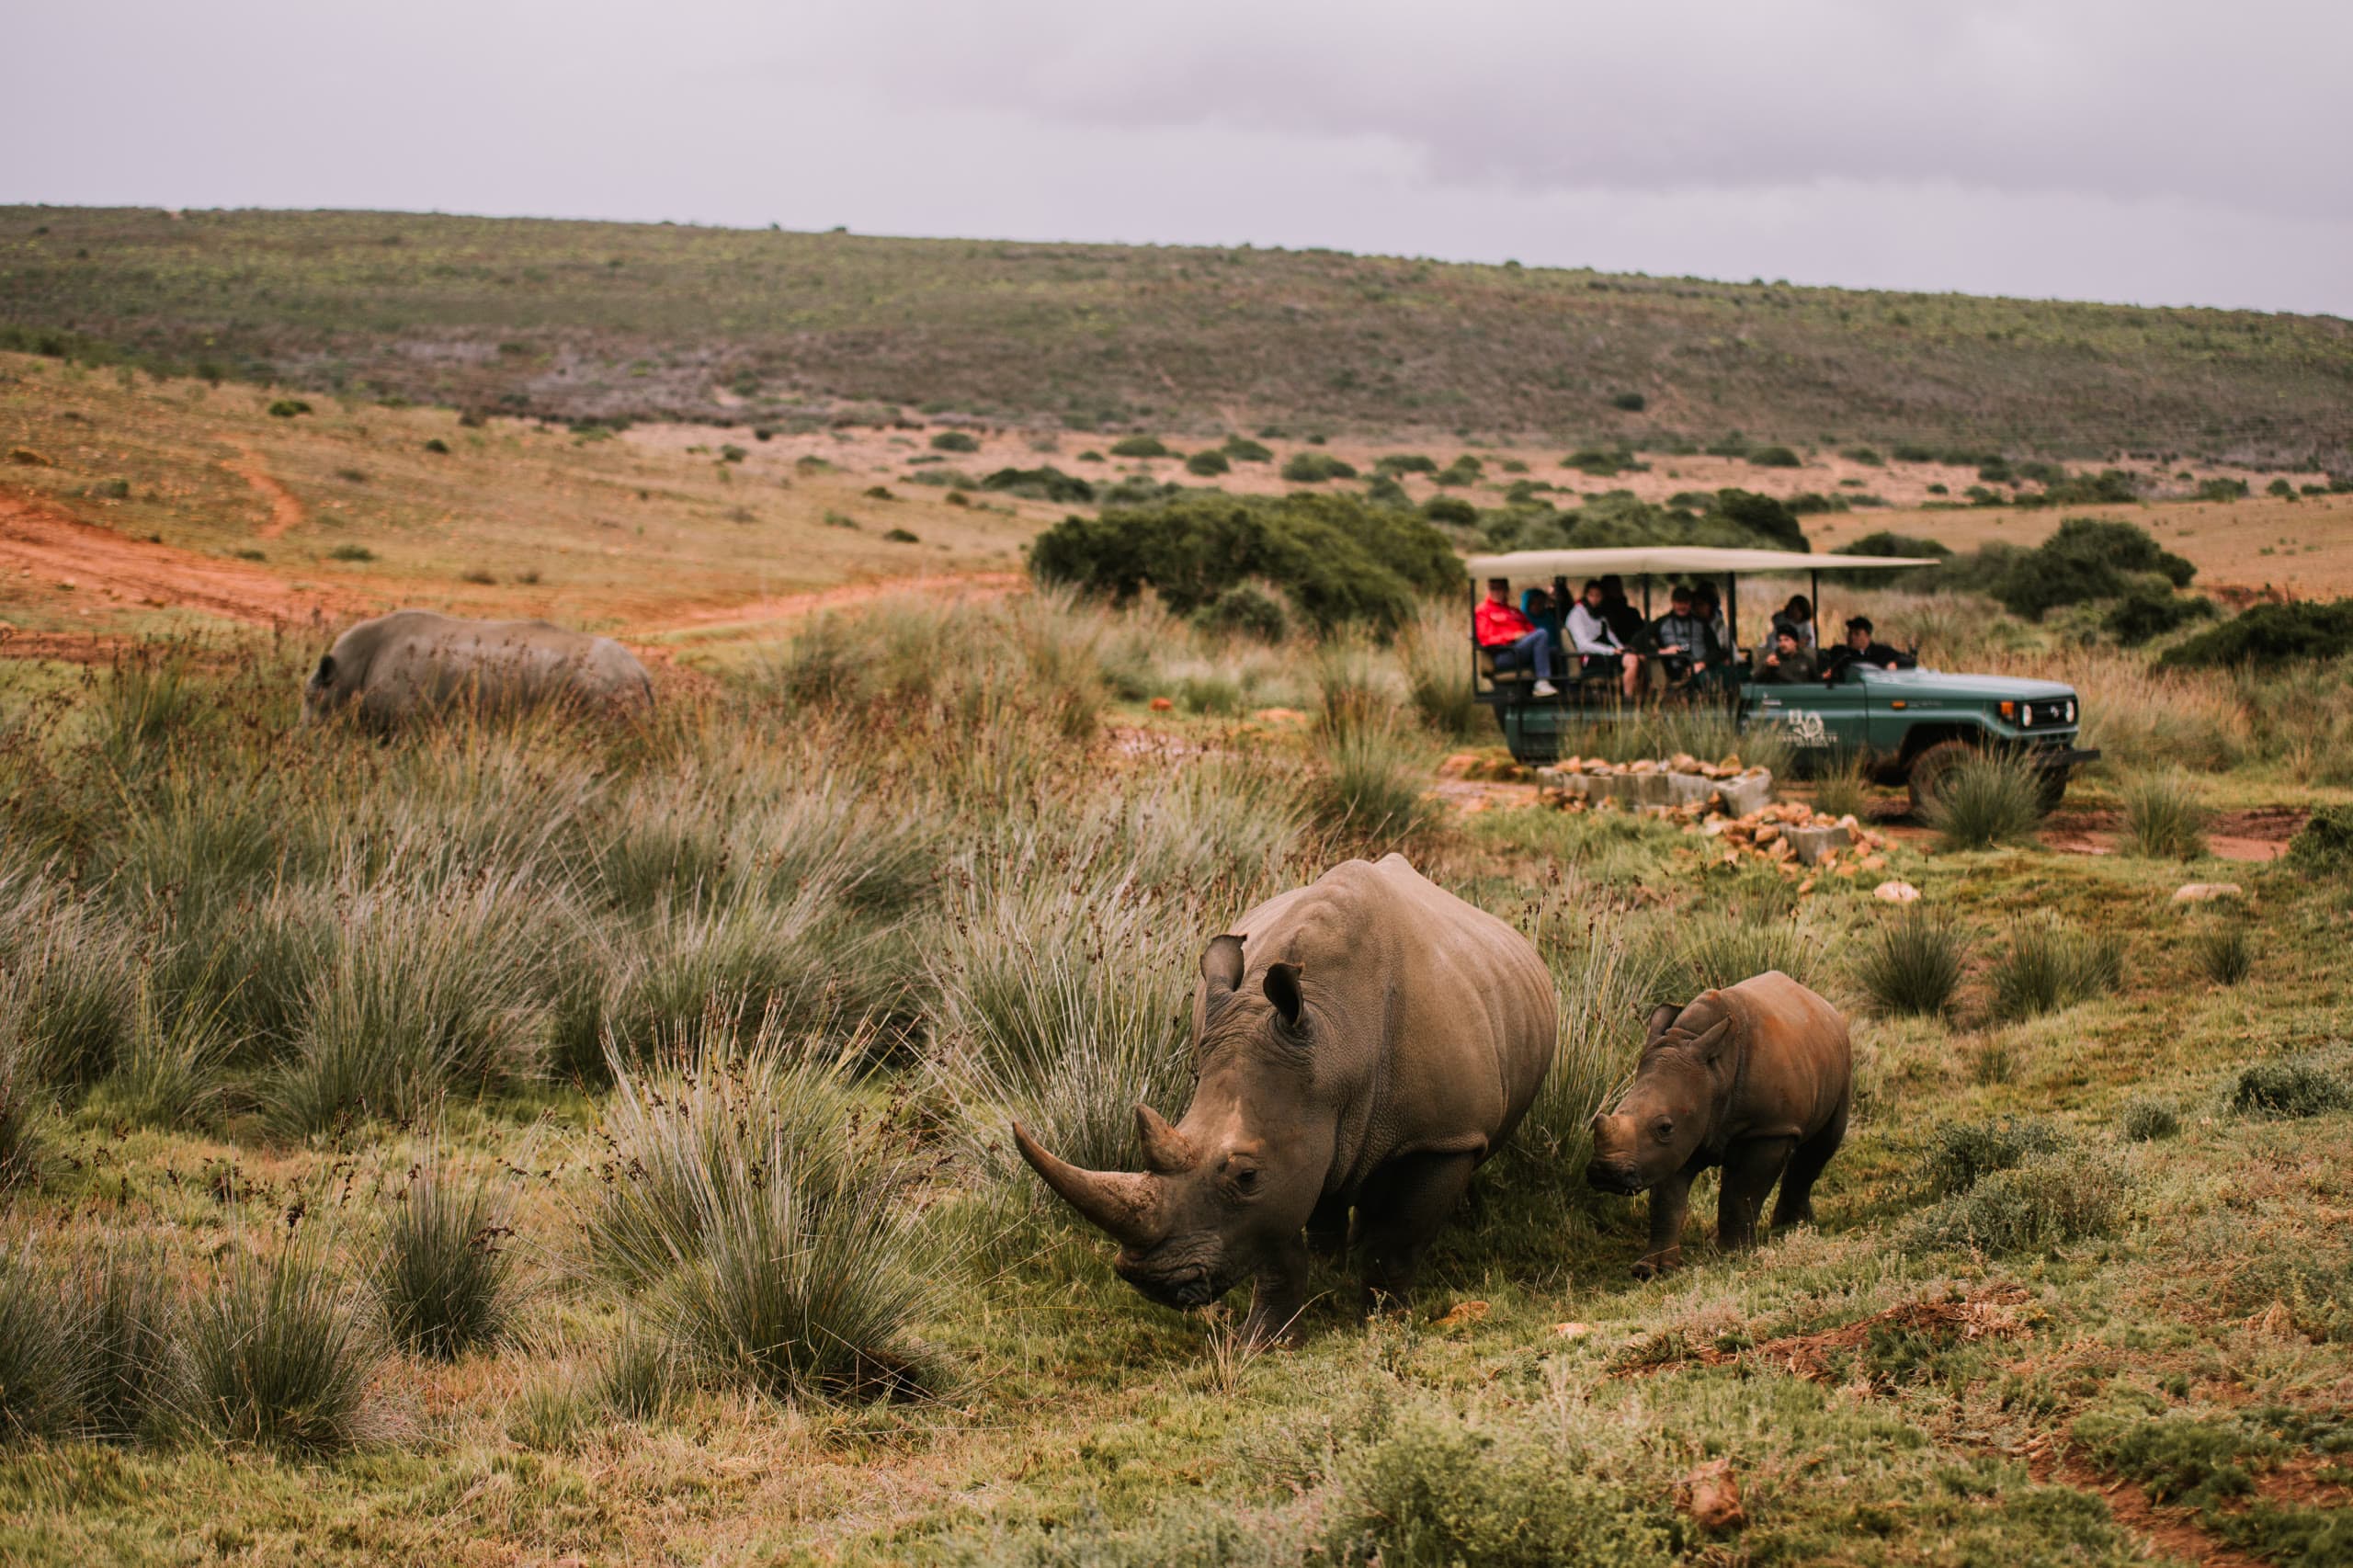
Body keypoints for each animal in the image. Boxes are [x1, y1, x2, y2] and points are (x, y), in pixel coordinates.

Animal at [302, 610, 653, 728]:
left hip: (607, 686)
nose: (304, 735)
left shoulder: (406, 716)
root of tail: (642, 672)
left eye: (313, 700)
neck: (346, 670)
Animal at [1012, 854, 1556, 1344]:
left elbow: (1399, 1240)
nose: (1155, 1284)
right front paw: (1264, 1340)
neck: (1339, 1047)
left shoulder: (1444, 1138)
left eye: (1246, 1175)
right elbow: (1278, 1244)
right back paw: (1332, 1262)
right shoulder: (1290, 1131)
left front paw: (1384, 1324)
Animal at [1585, 970, 1850, 1277]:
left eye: (1665, 1127)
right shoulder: (1679, 1140)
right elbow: (1667, 1201)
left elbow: (1743, 1191)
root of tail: (1819, 1001)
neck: (1714, 1075)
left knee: (1820, 1146)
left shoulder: (1770, 1129)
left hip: (1840, 1062)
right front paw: (1651, 1270)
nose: (1606, 1173)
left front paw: (1733, 1255)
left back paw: (1791, 1227)